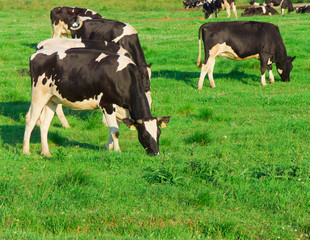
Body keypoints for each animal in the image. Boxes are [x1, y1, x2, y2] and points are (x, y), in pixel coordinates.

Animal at [23, 48, 170, 158]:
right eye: (144, 135)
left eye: (159, 133)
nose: (155, 153)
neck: (124, 77)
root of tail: (36, 54)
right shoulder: (107, 104)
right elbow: (115, 131)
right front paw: (117, 151)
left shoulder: (122, 109)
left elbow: (113, 129)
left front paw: (108, 148)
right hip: (39, 95)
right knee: (30, 120)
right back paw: (26, 150)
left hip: (52, 99)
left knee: (44, 124)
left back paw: (46, 152)